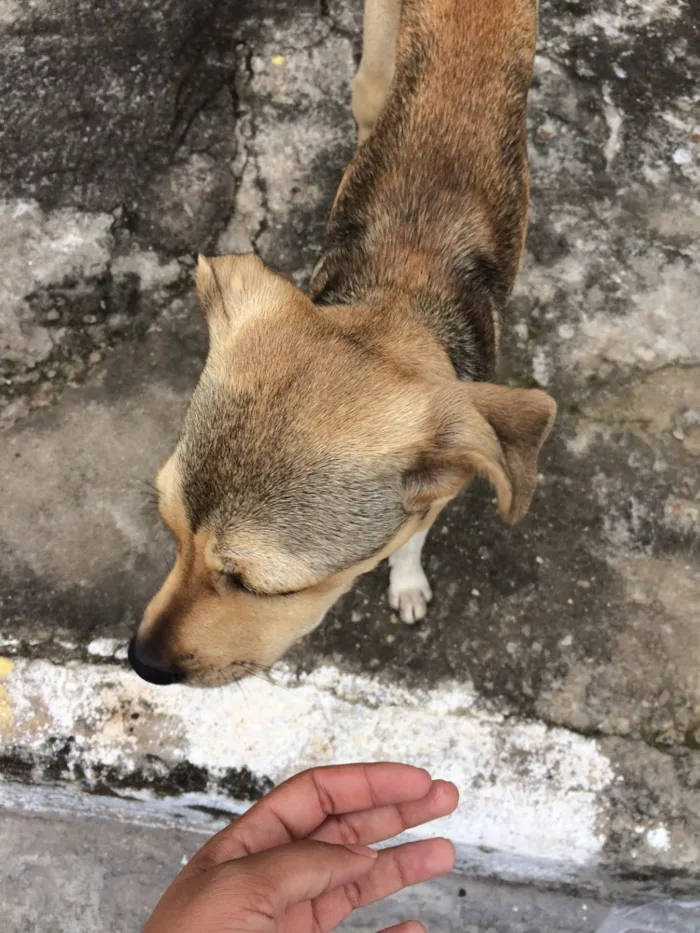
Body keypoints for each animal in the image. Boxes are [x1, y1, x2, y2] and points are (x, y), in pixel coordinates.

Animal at [129, 0, 556, 684]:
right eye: (169, 528)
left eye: (266, 588)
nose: (141, 663)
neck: (400, 291)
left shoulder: (447, 474)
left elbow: (411, 534)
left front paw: (405, 580)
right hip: (375, 64)